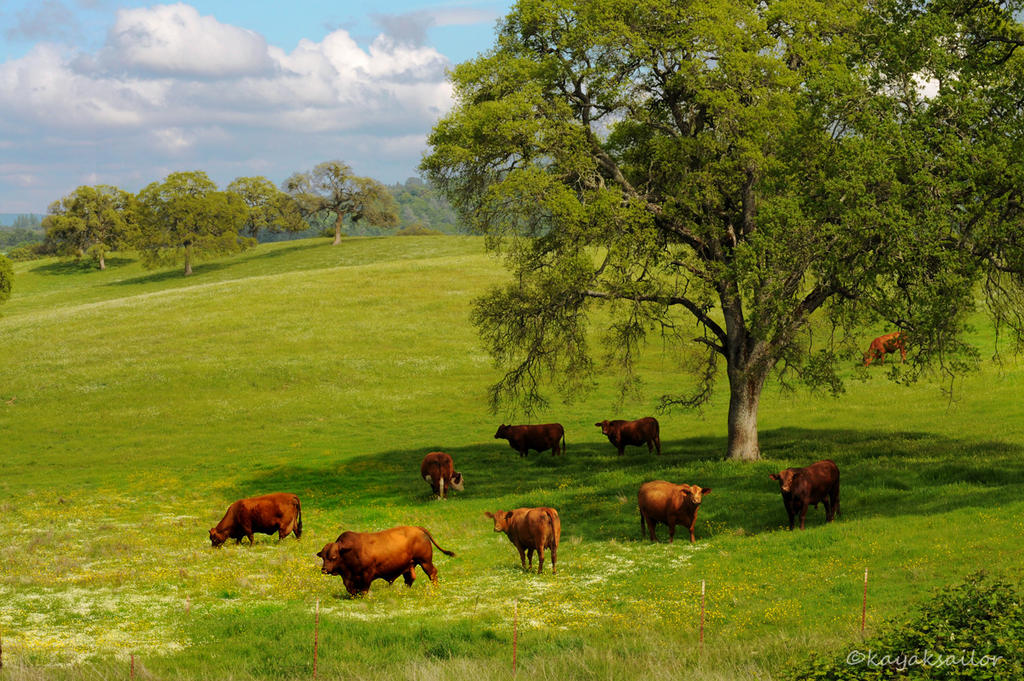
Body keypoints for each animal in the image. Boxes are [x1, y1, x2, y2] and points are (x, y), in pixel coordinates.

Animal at [313, 524, 454, 593]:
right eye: (323, 557)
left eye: (333, 557)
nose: (324, 569)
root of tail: (417, 528)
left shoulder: (367, 574)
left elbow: (364, 589)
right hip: (410, 565)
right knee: (410, 578)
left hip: (425, 561)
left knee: (432, 573)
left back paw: (435, 588)